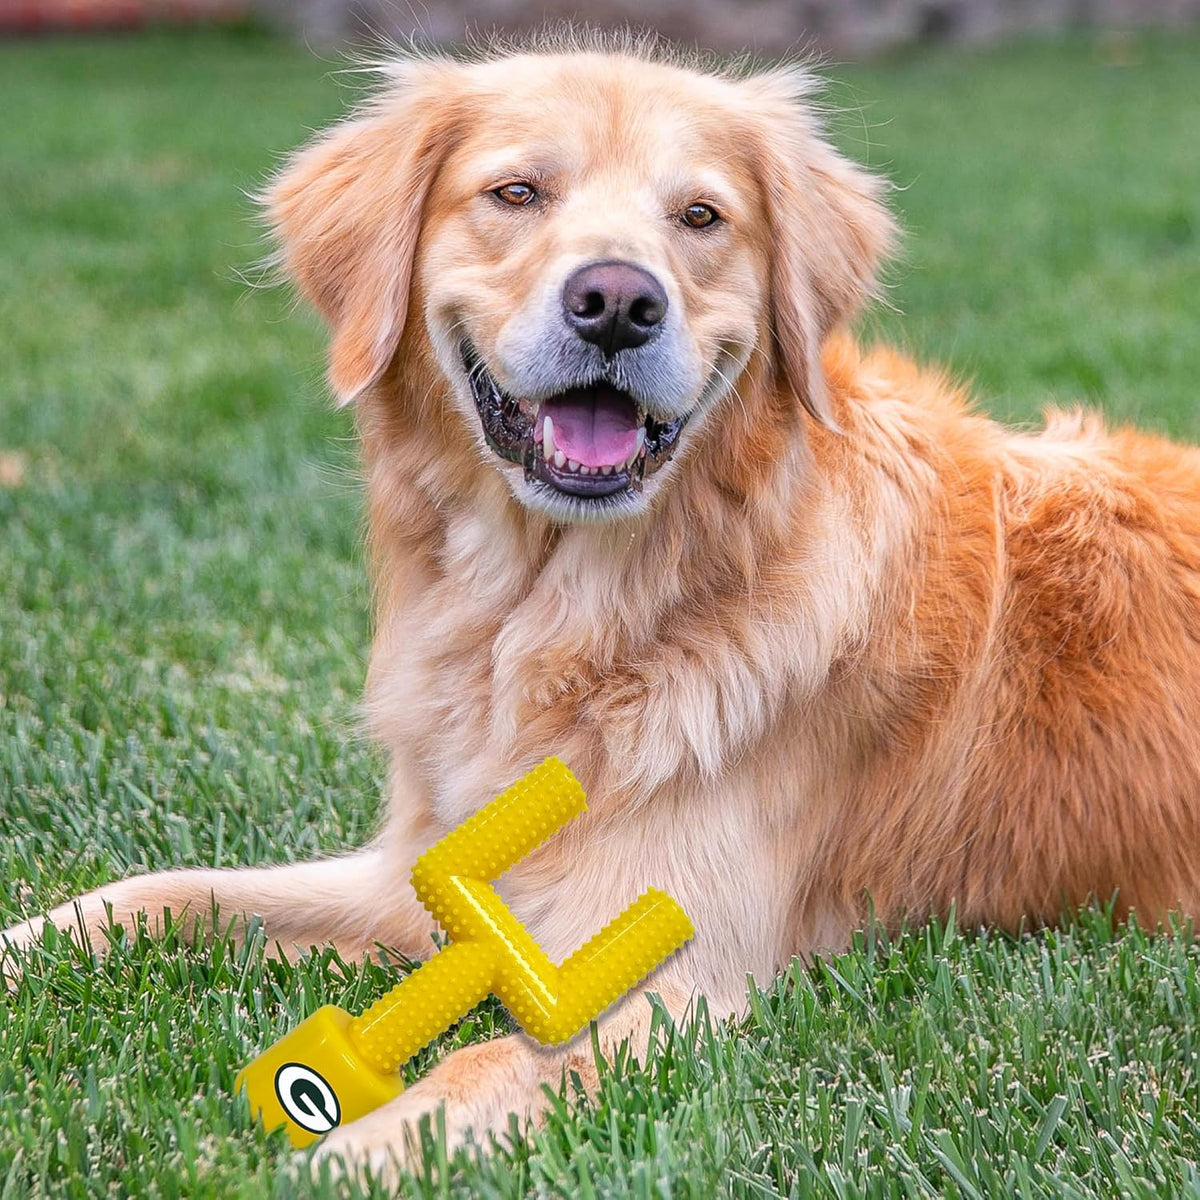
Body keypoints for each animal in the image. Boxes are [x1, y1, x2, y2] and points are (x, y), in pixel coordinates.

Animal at [7, 30, 1200, 1180]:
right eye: (516, 193)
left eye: (701, 216)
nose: (619, 302)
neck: (556, 617)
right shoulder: (427, 879)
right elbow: (159, 894)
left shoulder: (668, 976)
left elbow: (481, 1068)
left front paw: (337, 1159)